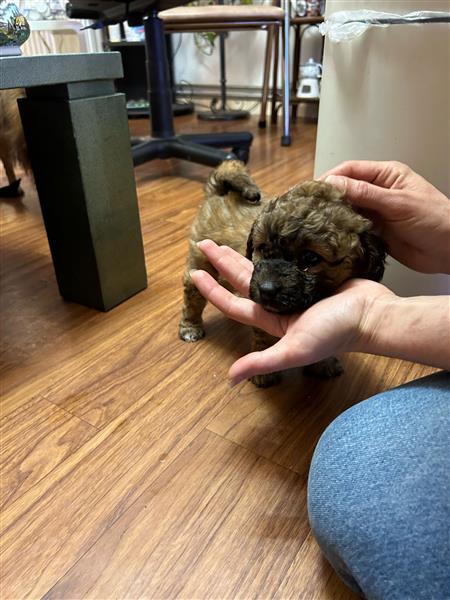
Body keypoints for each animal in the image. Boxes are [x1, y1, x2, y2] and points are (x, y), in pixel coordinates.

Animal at [179, 161, 386, 384]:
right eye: (263, 248)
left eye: (310, 258)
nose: (266, 289)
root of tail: (218, 193)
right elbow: (264, 336)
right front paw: (264, 371)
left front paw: (323, 363)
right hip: (200, 260)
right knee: (193, 293)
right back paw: (190, 326)